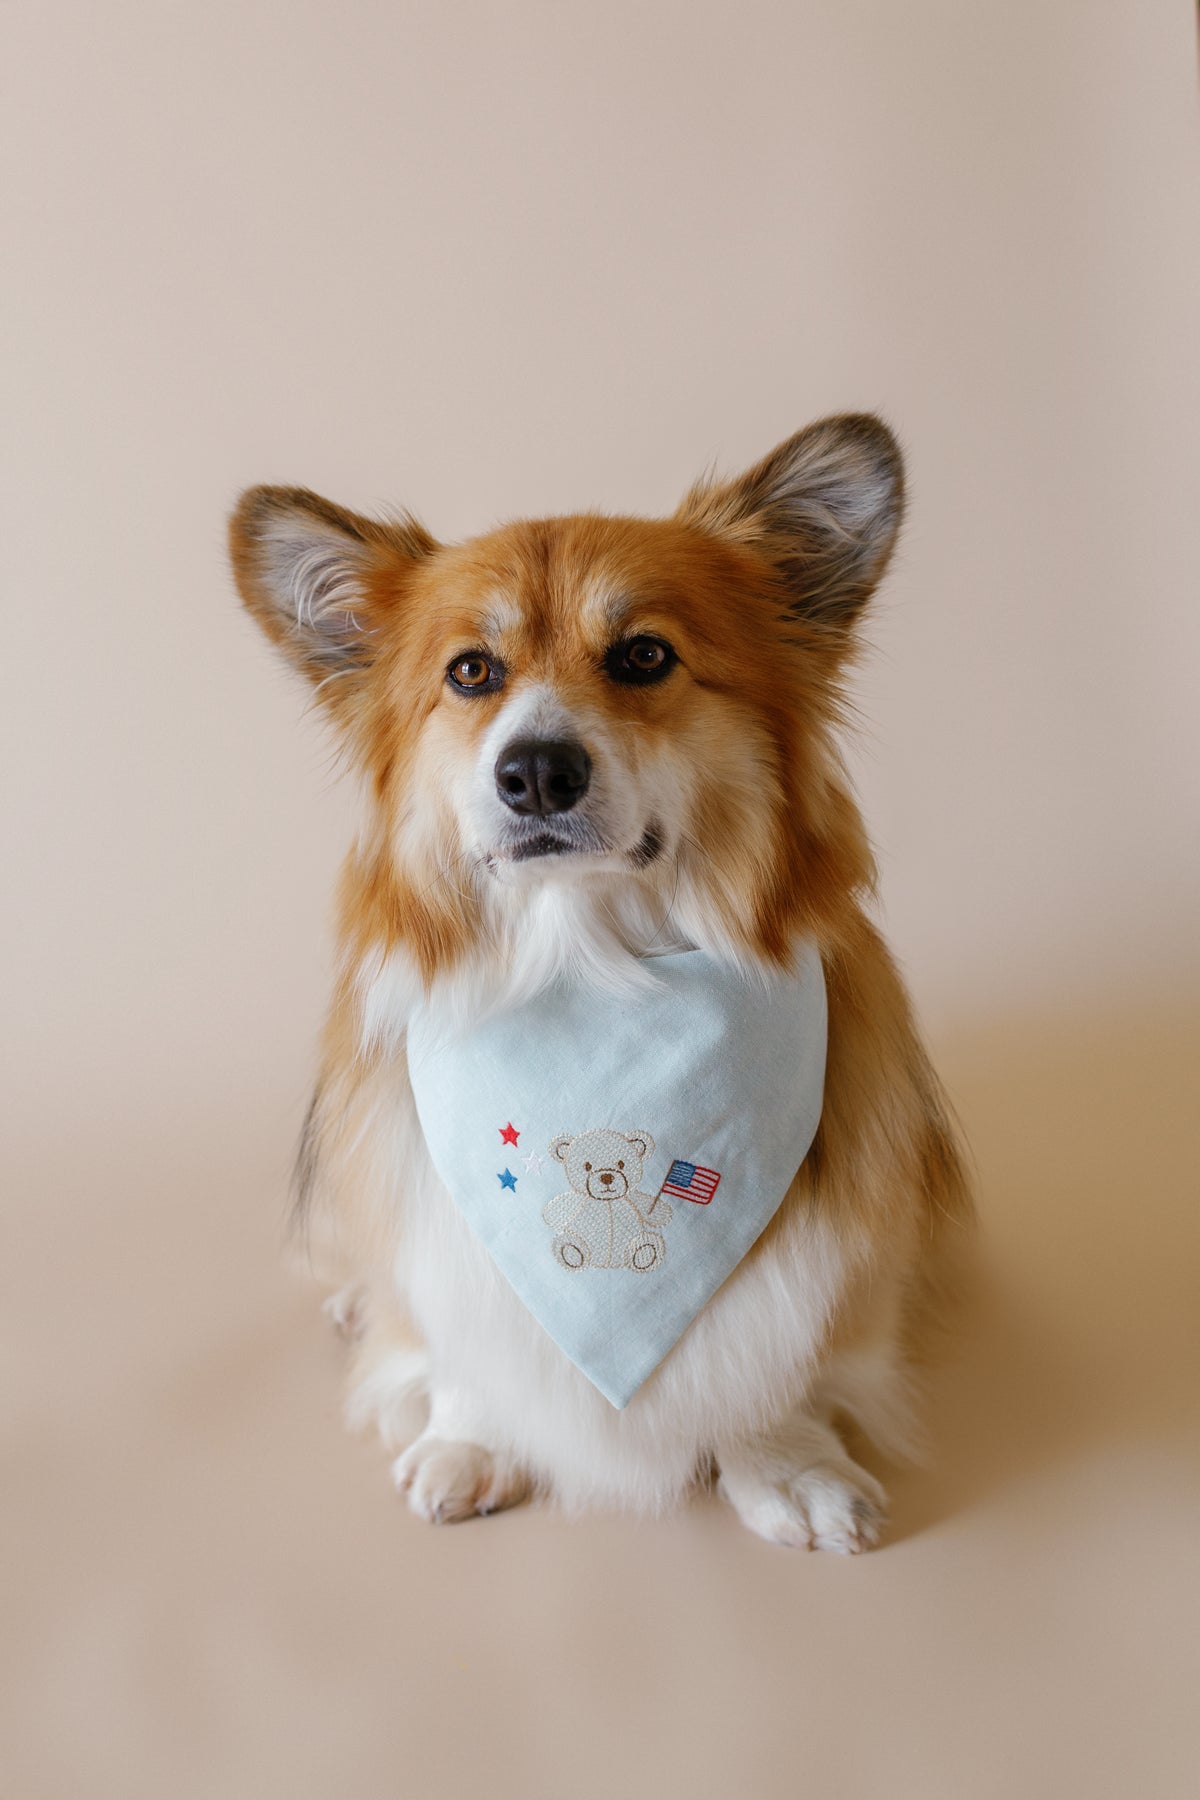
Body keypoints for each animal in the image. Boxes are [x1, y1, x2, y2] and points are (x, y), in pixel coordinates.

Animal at [543, 1126, 672, 1274]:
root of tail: (607, 1265)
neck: (606, 1201)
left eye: (621, 1164)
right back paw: (571, 1251)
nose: (606, 1177)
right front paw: (549, 1214)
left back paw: (645, 1252)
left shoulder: (634, 1200)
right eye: (587, 1166)